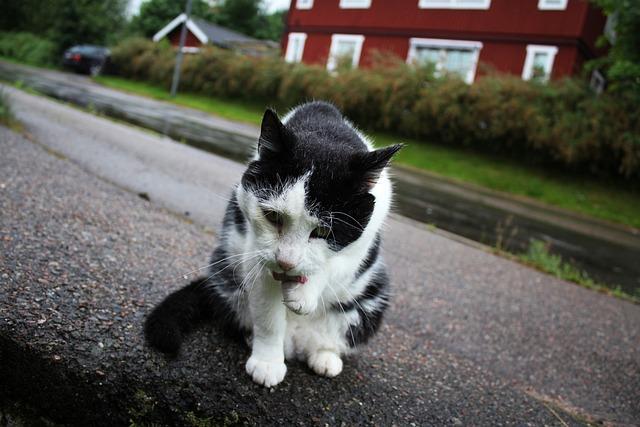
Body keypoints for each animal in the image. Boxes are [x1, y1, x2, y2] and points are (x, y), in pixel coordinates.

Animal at [145, 101, 400, 388]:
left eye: (324, 230)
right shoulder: (255, 254)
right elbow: (268, 317)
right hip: (226, 275)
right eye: (272, 216)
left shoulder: (365, 242)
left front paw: (304, 292)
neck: (325, 131)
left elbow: (337, 265)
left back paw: (325, 356)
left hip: (370, 299)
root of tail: (297, 342)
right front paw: (267, 362)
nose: (286, 261)